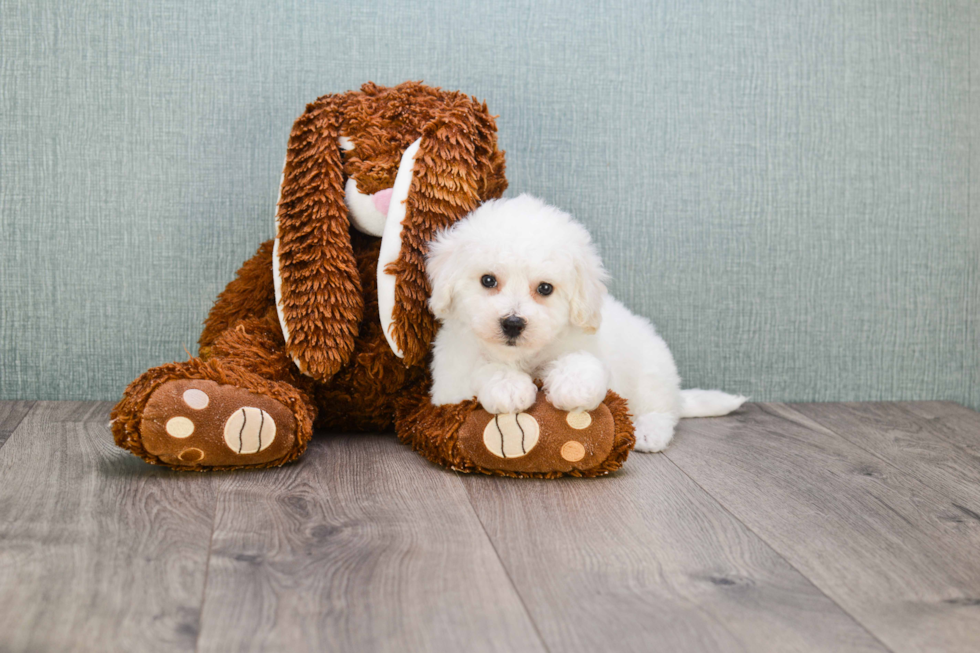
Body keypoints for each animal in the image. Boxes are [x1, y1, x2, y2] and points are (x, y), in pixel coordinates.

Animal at [424, 192, 748, 448]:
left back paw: (649, 432)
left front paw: (573, 387)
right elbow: (481, 368)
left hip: (651, 370)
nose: (513, 323)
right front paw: (508, 387)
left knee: (659, 408)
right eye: (488, 280)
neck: (523, 356)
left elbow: (581, 361)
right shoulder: (449, 382)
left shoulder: (589, 347)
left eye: (545, 288)